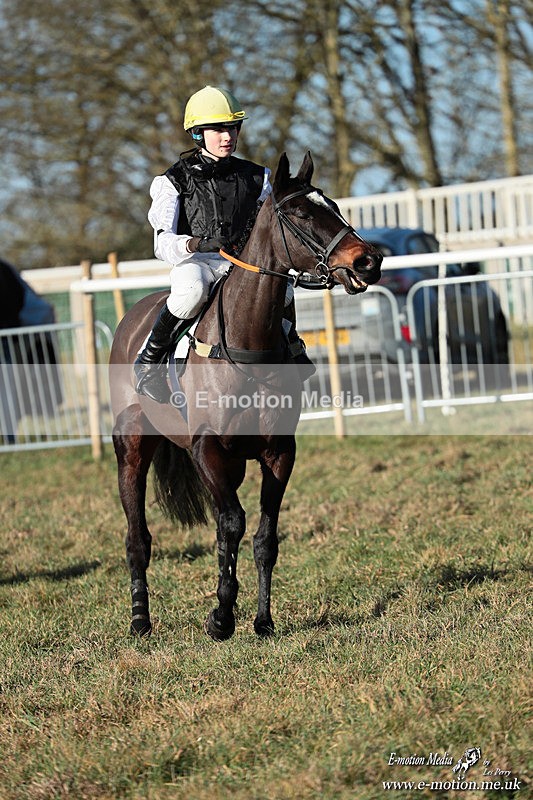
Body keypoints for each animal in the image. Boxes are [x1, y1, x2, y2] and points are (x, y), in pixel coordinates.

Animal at [109, 151, 382, 641]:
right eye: (300, 213)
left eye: (332, 205)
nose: (368, 260)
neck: (246, 342)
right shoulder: (207, 450)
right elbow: (232, 524)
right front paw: (221, 616)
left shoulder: (278, 453)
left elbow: (263, 538)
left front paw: (262, 619)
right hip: (132, 449)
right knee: (137, 536)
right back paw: (140, 618)